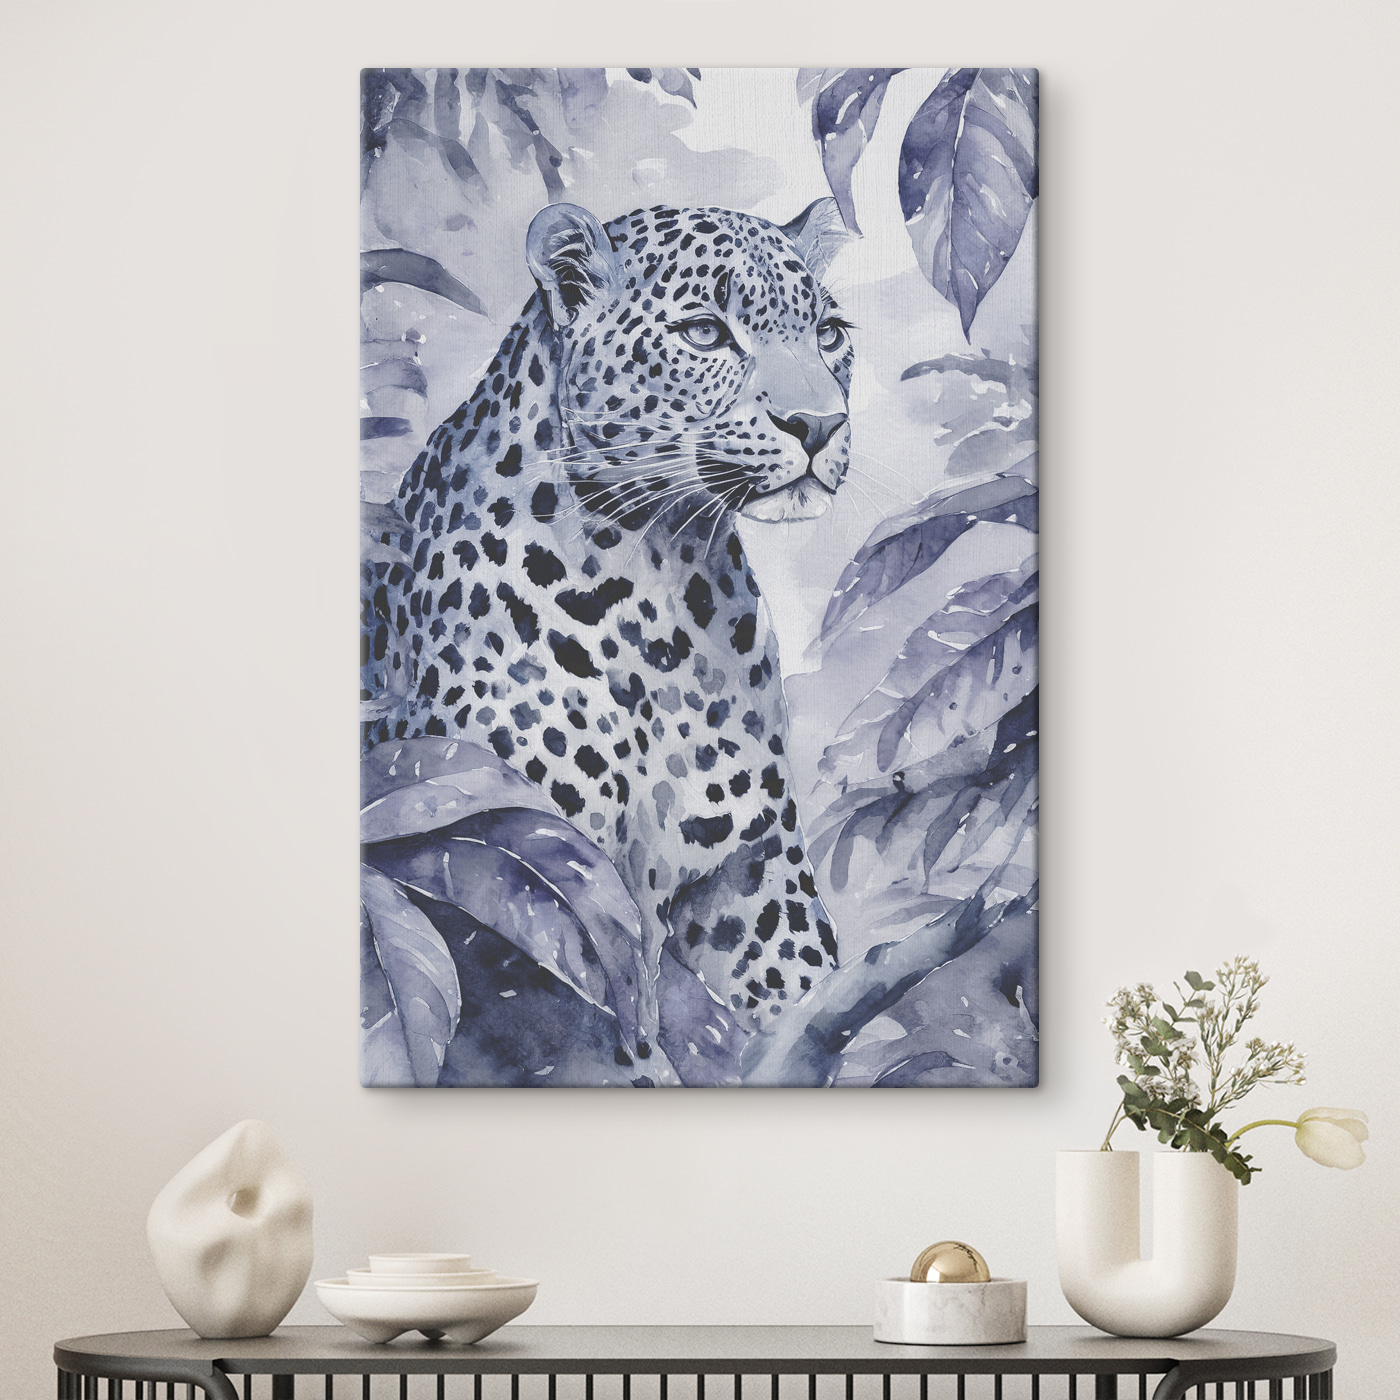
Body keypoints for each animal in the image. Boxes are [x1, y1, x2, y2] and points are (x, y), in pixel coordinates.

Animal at [361, 197, 856, 1081]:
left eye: (830, 333)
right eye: (705, 332)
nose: (819, 424)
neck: (661, 583)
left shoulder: (753, 869)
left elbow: (802, 975)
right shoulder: (531, 861)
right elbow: (618, 1038)